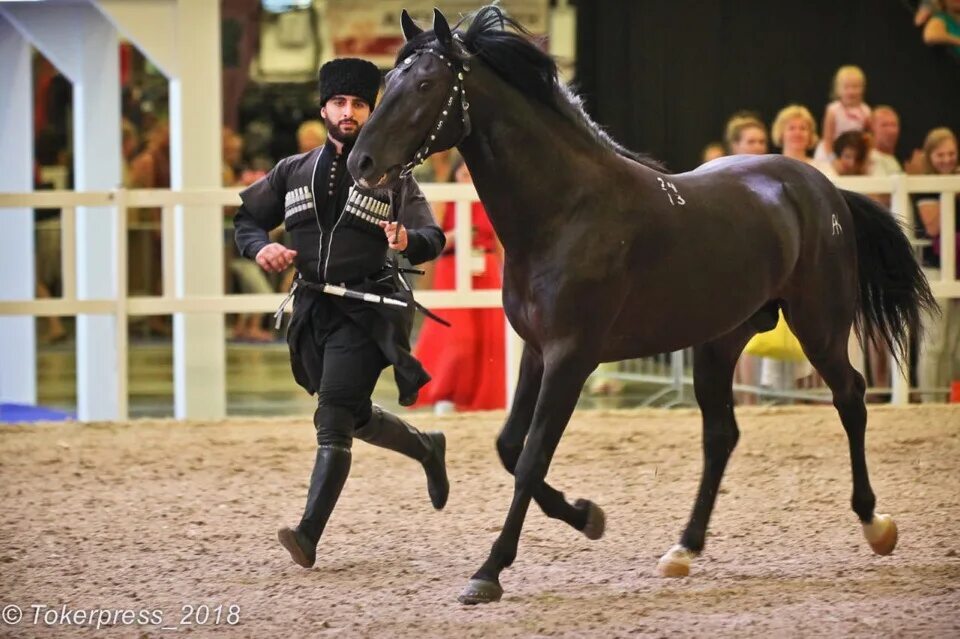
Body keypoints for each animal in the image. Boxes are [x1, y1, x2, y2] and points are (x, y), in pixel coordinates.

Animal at [348, 6, 932, 604]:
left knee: (851, 398)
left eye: (425, 84)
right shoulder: (537, 352)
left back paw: (875, 524)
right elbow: (510, 447)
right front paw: (586, 516)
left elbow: (532, 456)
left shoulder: (572, 358)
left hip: (819, 326)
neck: (566, 211)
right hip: (721, 340)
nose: (361, 162)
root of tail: (824, 190)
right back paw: (684, 549)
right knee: (722, 434)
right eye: (389, 81)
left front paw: (489, 571)